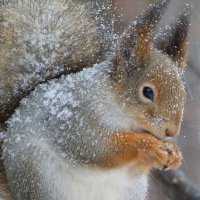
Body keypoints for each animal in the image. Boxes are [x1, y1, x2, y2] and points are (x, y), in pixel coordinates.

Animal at [0, 0, 191, 199]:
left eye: (183, 93)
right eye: (147, 92)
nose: (171, 132)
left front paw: (175, 153)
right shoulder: (77, 118)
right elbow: (99, 147)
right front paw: (146, 144)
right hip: (44, 184)